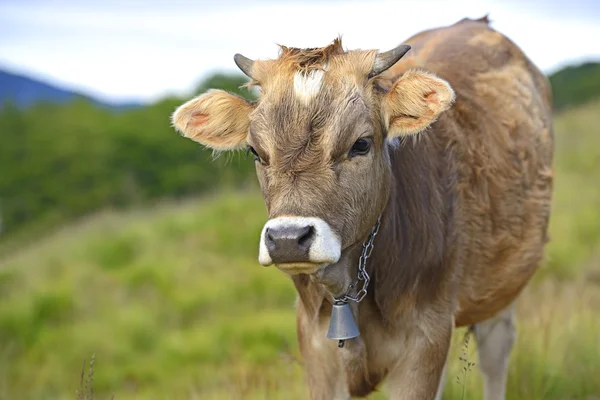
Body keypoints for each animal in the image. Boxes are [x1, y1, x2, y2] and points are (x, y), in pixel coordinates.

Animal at [170, 15, 552, 400]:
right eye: (255, 152)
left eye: (361, 144)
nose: (288, 239)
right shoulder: (317, 350)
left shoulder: (424, 342)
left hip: (502, 286)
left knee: (495, 351)